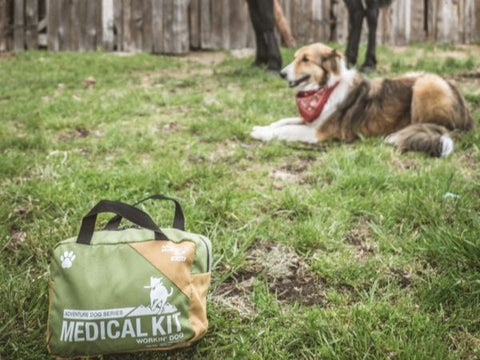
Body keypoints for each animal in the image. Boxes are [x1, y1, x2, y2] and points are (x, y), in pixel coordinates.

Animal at [251, 41, 472, 156]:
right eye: (295, 57)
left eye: (305, 59)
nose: (281, 73)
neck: (325, 88)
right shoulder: (312, 119)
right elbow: (282, 121)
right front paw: (262, 127)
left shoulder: (317, 133)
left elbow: (286, 129)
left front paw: (261, 133)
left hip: (426, 83)